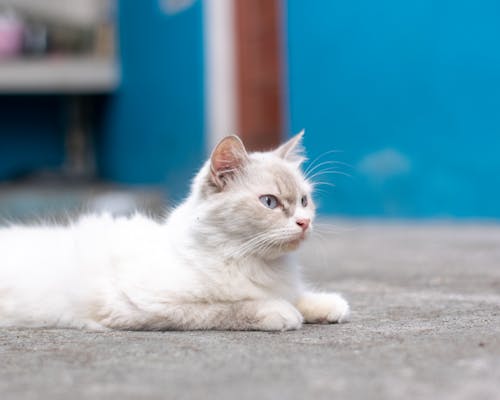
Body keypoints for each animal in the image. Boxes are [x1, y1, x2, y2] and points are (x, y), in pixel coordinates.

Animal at [0, 132, 350, 332]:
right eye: (270, 202)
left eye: (304, 201)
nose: (304, 222)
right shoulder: (144, 306)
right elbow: (226, 309)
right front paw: (279, 312)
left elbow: (298, 296)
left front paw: (326, 305)